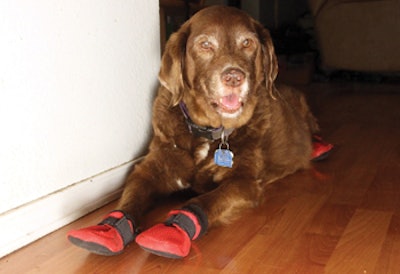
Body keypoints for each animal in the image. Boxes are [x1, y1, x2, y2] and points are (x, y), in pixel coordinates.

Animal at [67, 5, 326, 260]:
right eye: (205, 44)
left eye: (247, 43)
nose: (234, 77)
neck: (207, 131)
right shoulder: (148, 170)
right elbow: (131, 198)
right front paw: (107, 229)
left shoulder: (244, 183)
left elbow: (203, 200)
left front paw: (173, 230)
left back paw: (319, 147)